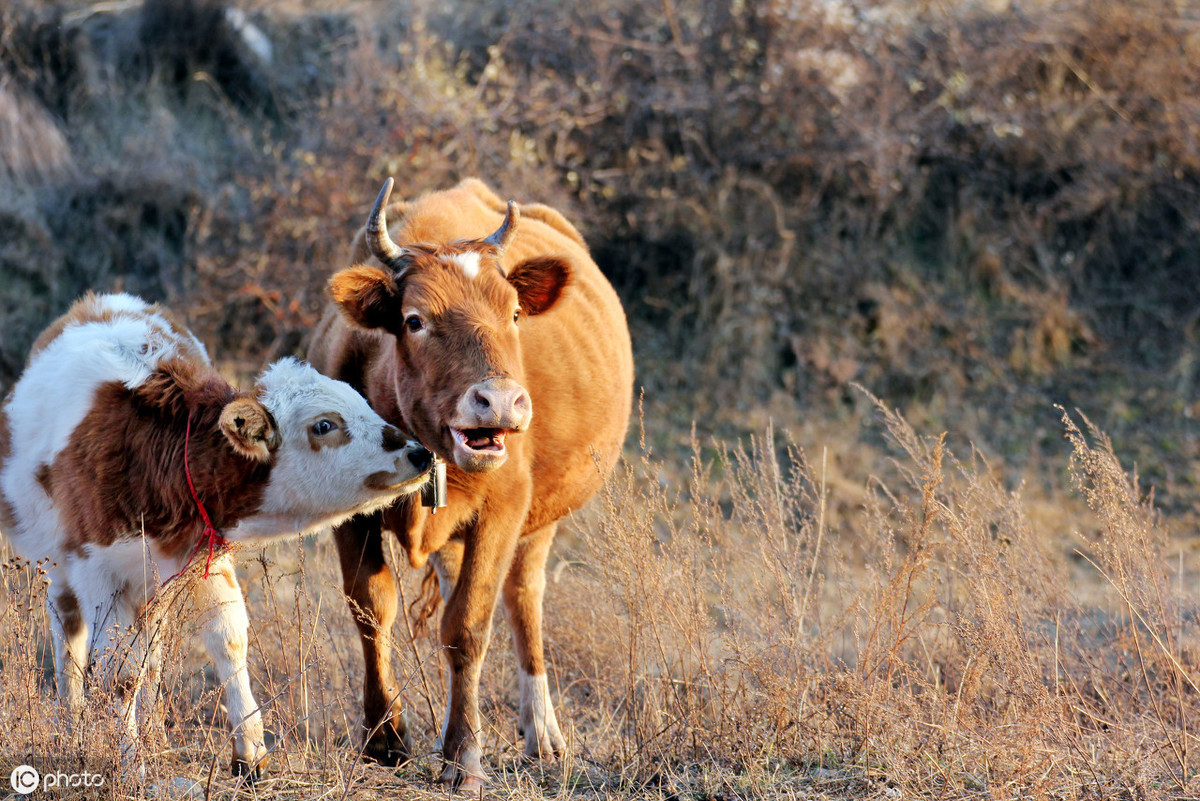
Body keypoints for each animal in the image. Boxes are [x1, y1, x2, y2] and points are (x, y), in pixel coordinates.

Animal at [0, 292, 432, 777]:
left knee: (151, 651)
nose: (419, 453)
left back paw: (153, 731)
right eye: (324, 425)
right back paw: (69, 722)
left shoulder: (207, 554)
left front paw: (250, 753)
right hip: (59, 569)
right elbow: (119, 674)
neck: (155, 455)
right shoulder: (98, 573)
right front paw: (130, 764)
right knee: (68, 638)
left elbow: (227, 642)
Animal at [309, 176, 638, 786]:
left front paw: (464, 755)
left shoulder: (504, 512)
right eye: (415, 320)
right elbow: (371, 609)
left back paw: (542, 733)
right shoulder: (349, 516)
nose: (501, 402)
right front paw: (384, 737)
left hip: (539, 522)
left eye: (514, 314)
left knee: (523, 598)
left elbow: (467, 627)